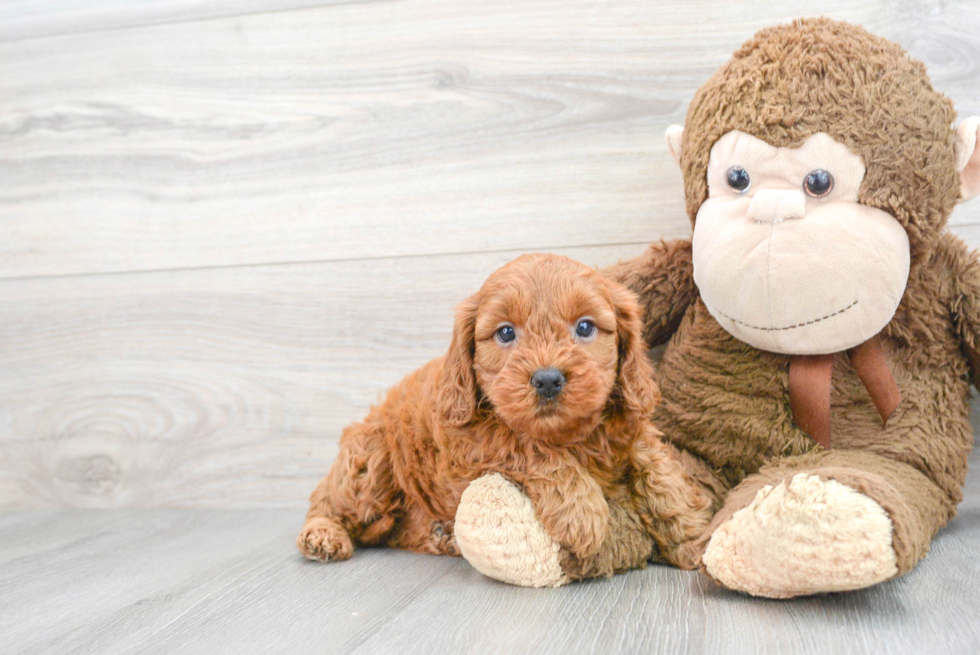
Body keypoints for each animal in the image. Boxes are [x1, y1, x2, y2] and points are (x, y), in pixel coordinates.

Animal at [294, 252, 708, 568]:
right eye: (506, 333)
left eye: (585, 327)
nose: (547, 379)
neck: (568, 435)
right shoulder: (471, 441)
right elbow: (531, 448)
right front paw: (584, 513)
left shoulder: (632, 428)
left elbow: (661, 475)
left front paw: (694, 538)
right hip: (370, 461)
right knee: (326, 500)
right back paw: (322, 534)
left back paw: (439, 534)